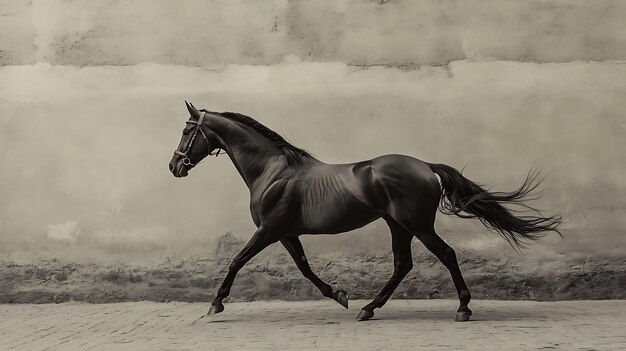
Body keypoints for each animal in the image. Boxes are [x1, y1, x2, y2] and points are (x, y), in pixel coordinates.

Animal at [168, 101, 560, 322]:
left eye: (188, 131)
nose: (174, 167)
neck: (273, 170)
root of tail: (425, 166)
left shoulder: (268, 231)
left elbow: (236, 260)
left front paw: (216, 303)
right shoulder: (286, 233)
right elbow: (305, 269)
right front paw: (340, 296)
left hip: (416, 224)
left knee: (446, 254)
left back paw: (462, 309)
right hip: (397, 224)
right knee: (403, 265)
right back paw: (368, 308)